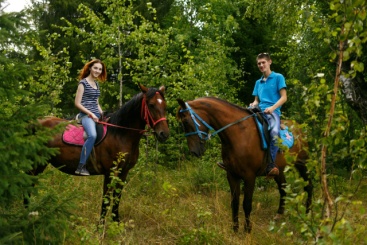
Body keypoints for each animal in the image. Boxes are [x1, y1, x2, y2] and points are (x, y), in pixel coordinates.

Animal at [28, 83, 170, 221]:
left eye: (164, 105)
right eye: (151, 105)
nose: (164, 134)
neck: (120, 134)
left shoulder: (123, 172)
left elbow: (117, 198)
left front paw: (116, 223)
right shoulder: (109, 173)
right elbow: (106, 201)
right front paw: (101, 226)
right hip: (35, 164)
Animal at [178, 96, 314, 233]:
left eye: (186, 122)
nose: (194, 152)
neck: (238, 133)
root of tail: (300, 128)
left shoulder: (249, 176)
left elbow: (247, 204)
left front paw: (247, 230)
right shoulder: (232, 175)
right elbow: (234, 202)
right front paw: (235, 229)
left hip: (302, 164)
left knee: (308, 186)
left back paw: (308, 215)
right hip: (279, 170)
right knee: (283, 189)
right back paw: (279, 215)